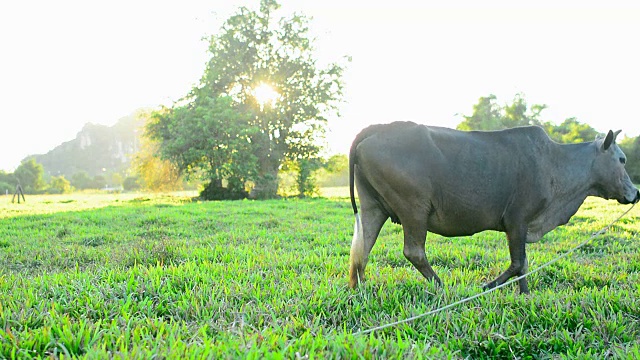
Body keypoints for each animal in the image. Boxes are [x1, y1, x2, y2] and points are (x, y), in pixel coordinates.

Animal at [350, 122, 640, 294]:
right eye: (622, 159)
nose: (635, 193)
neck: (556, 165)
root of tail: (376, 128)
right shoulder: (517, 220)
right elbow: (518, 262)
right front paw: (489, 286)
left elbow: (523, 264)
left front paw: (525, 294)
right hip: (414, 207)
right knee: (413, 251)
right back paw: (443, 288)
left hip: (373, 207)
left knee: (362, 248)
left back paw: (358, 288)